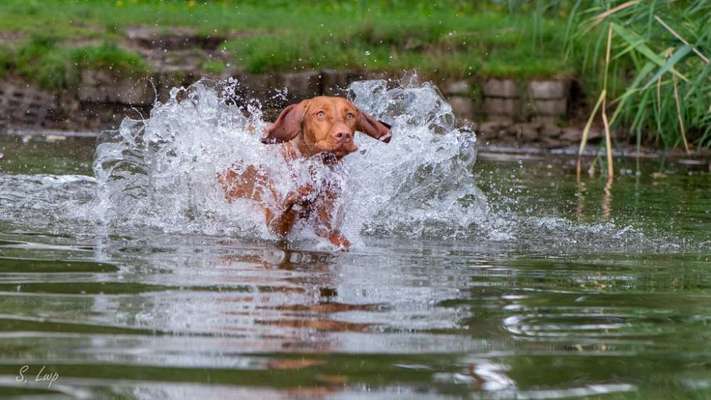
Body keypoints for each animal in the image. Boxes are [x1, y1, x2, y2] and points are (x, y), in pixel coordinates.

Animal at [220, 95, 392, 248]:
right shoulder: (273, 225)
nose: (344, 135)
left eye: (350, 115)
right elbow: (286, 214)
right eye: (320, 114)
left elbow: (339, 238)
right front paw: (298, 196)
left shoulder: (325, 225)